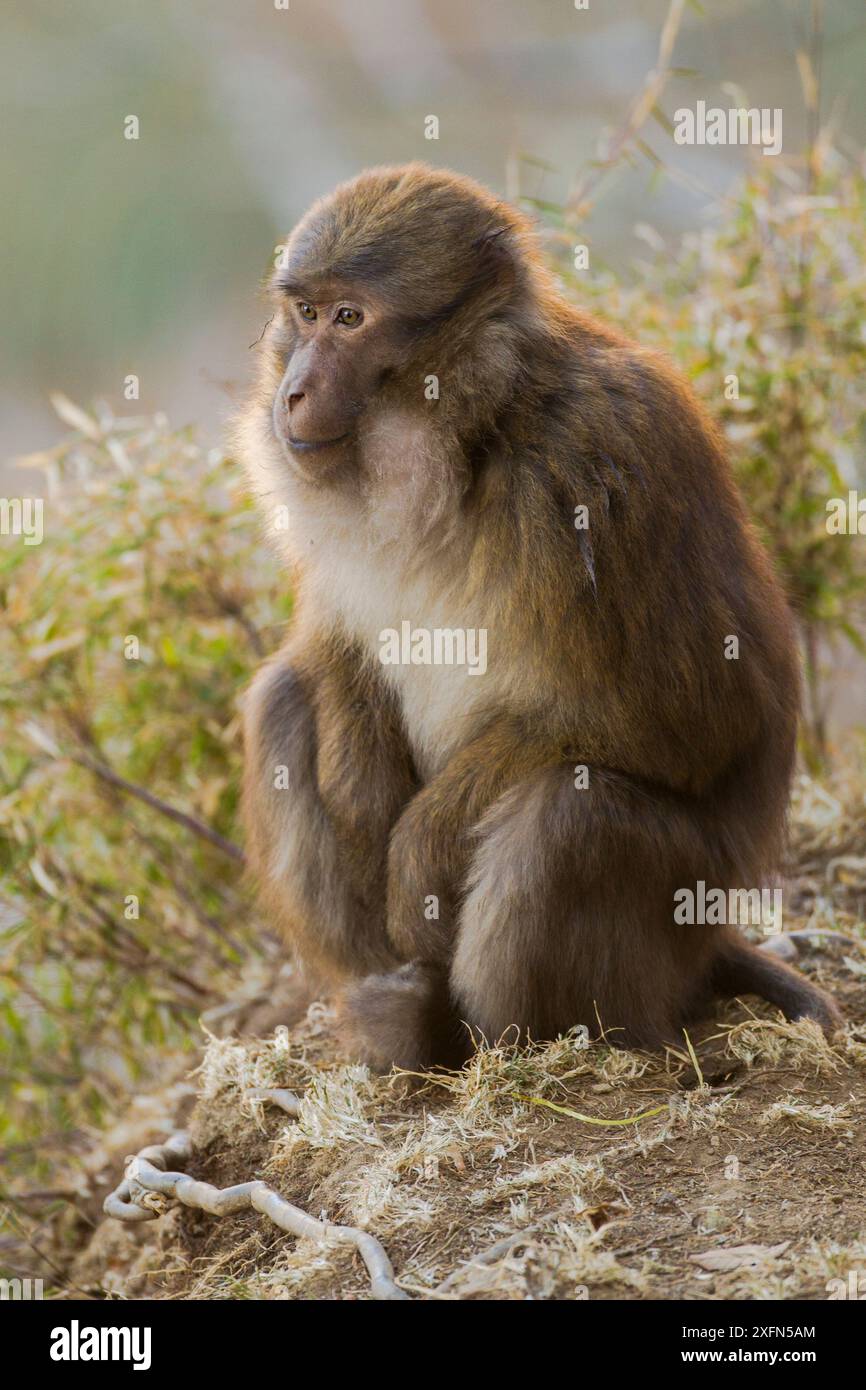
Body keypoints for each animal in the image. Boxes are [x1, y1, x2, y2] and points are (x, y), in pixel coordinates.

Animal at [234, 162, 842, 1071]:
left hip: (677, 925)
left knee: (568, 813)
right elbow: (327, 645)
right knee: (283, 702)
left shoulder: (599, 460)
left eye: (350, 320)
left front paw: (416, 852)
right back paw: (397, 1010)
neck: (470, 440)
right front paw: (358, 781)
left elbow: (695, 719)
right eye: (305, 313)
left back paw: (517, 1040)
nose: (295, 388)